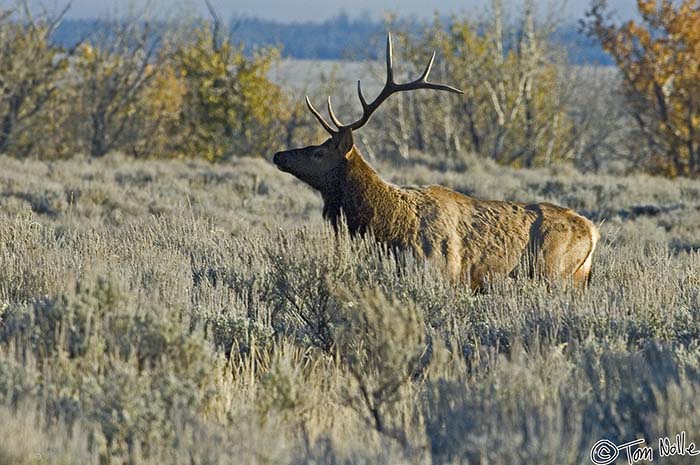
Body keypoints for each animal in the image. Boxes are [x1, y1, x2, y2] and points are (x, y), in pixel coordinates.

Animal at [270, 33, 600, 286]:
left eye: (319, 153)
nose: (278, 155)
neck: (388, 230)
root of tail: (592, 231)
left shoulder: (443, 271)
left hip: (553, 272)